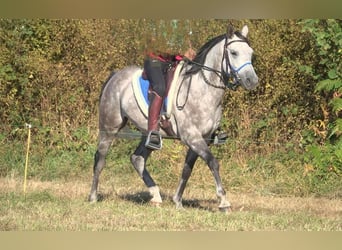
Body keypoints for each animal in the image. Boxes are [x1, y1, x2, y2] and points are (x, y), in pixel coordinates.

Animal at [89, 24, 258, 212]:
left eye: (251, 53)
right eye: (234, 52)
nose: (252, 81)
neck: (203, 91)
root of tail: (115, 76)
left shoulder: (201, 139)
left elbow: (187, 170)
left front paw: (177, 201)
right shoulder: (192, 136)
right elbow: (213, 162)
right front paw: (223, 202)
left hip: (149, 133)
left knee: (137, 159)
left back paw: (155, 195)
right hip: (109, 127)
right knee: (100, 158)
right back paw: (93, 197)